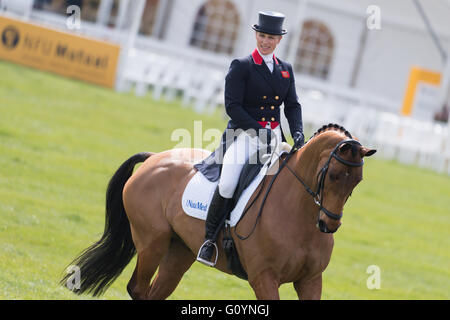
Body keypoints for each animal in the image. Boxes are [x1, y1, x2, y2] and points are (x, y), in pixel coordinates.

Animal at [59, 123, 376, 300]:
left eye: (357, 181)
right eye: (333, 175)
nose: (329, 225)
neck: (299, 214)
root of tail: (154, 159)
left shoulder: (310, 280)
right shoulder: (264, 278)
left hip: (179, 251)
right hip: (151, 243)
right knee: (137, 288)